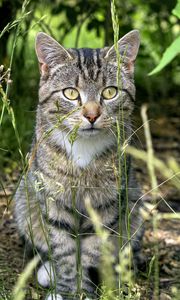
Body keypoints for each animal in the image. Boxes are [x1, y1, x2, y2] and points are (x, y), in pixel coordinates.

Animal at [14, 31, 142, 300]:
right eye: (71, 93)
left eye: (110, 92)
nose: (92, 115)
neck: (84, 148)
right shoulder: (53, 200)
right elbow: (64, 252)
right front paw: (67, 290)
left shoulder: (106, 205)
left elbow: (91, 252)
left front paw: (84, 291)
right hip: (24, 204)